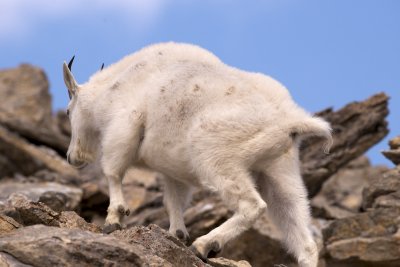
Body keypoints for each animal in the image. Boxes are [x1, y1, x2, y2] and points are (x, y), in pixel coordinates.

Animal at [62, 43, 332, 266]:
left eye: (67, 111)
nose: (72, 157)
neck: (110, 92)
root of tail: (289, 120)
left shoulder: (124, 128)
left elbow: (113, 172)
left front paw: (113, 219)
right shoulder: (172, 171)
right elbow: (173, 201)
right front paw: (176, 234)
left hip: (216, 157)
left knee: (252, 206)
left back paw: (203, 245)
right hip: (280, 171)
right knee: (301, 235)